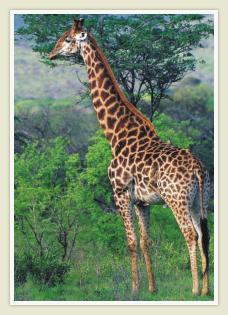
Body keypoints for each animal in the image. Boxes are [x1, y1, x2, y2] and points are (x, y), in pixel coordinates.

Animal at [49, 19, 211, 296]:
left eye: (68, 39)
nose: (51, 53)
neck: (117, 135)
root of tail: (197, 170)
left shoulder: (120, 193)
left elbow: (131, 241)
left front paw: (135, 288)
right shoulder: (142, 202)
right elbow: (146, 241)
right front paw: (152, 289)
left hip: (176, 200)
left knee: (190, 234)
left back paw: (194, 289)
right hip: (199, 200)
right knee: (204, 235)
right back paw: (207, 289)